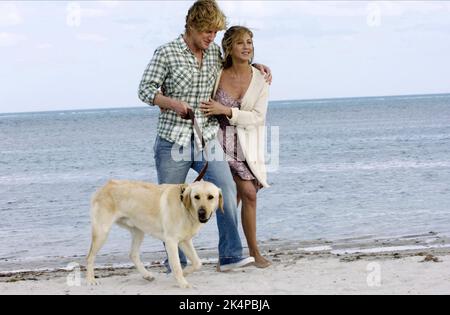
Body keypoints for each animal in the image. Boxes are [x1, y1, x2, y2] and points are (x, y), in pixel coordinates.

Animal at [85, 180, 222, 288]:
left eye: (210, 197)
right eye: (196, 197)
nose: (201, 213)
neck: (184, 207)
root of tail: (105, 186)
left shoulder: (185, 241)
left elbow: (197, 263)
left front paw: (185, 274)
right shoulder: (171, 242)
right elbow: (177, 266)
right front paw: (183, 283)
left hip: (138, 231)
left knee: (133, 254)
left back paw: (147, 275)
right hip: (102, 232)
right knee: (90, 257)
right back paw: (90, 280)